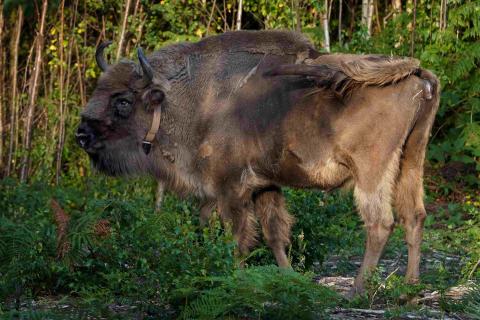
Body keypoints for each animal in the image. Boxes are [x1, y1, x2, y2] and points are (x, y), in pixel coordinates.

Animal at [77, 30, 440, 296]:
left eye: (123, 101)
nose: (82, 134)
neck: (196, 99)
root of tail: (416, 73)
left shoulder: (230, 188)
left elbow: (237, 239)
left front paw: (234, 279)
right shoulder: (265, 185)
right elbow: (273, 233)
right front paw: (288, 277)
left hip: (372, 170)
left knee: (380, 223)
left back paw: (356, 290)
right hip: (412, 158)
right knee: (414, 215)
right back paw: (411, 288)